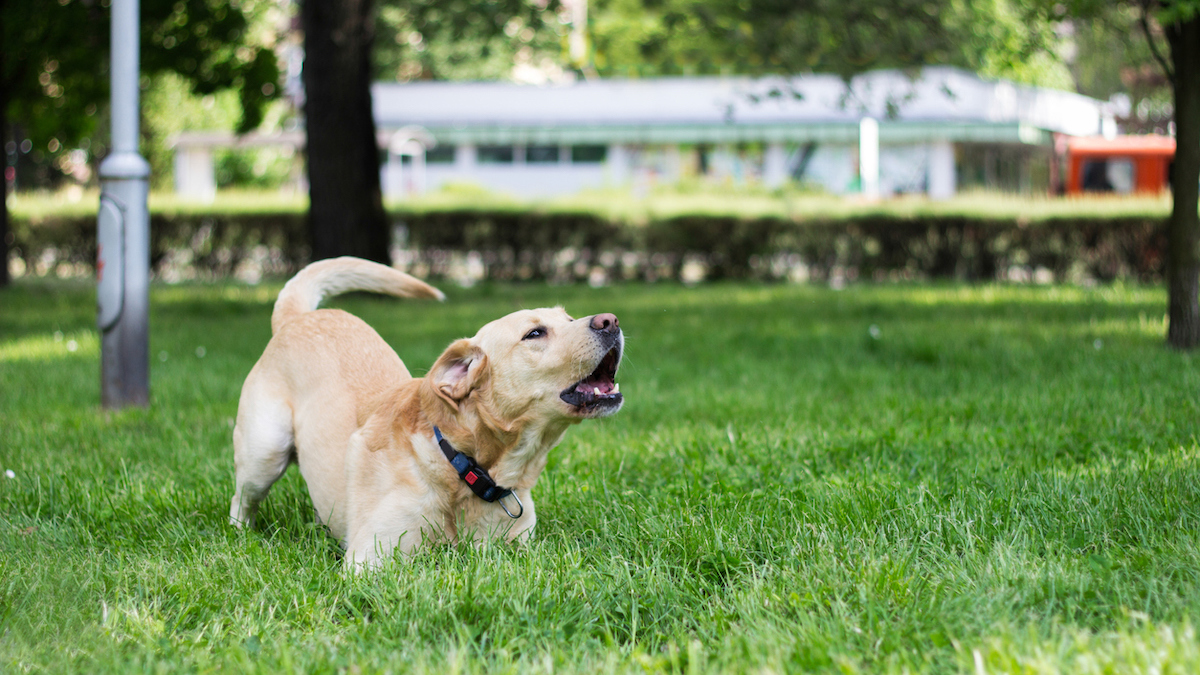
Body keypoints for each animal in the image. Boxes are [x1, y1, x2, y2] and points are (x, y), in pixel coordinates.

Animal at [226, 257, 628, 566]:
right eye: (535, 334)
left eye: (569, 319)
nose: (610, 320)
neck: (463, 463)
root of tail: (296, 319)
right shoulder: (369, 560)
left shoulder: (520, 549)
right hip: (265, 452)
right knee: (241, 500)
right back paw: (240, 535)